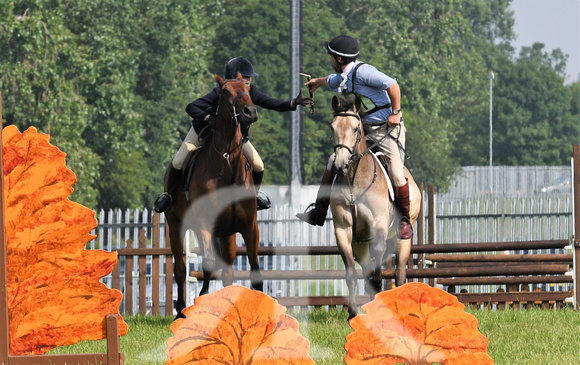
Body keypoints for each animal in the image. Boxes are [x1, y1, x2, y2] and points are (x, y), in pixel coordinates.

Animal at [165, 73, 266, 316]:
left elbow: (254, 268)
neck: (228, 167)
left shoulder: (249, 226)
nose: (250, 112)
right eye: (226, 92)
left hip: (226, 234)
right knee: (180, 268)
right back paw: (181, 310)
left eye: (247, 88)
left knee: (227, 269)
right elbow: (207, 265)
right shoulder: (203, 223)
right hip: (176, 225)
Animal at [328, 94, 420, 318]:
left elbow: (378, 274)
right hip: (360, 243)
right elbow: (352, 274)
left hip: (402, 237)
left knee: (399, 273)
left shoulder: (379, 222)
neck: (355, 180)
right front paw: (353, 313)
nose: (340, 164)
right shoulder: (343, 229)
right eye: (332, 127)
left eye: (355, 129)